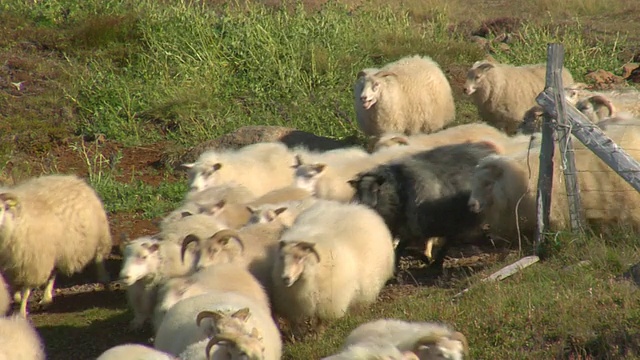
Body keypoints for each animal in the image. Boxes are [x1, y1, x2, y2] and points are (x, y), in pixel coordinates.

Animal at [0, 176, 112, 316]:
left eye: (0, 208)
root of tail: (75, 179)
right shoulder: (10, 267)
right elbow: (15, 290)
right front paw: (17, 299)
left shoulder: (34, 264)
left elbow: (25, 291)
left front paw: (21, 313)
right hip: (57, 250)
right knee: (53, 274)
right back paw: (47, 299)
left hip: (98, 235)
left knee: (99, 257)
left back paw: (104, 278)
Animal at [270, 198, 396, 334]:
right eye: (281, 258)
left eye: (300, 258)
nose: (285, 278)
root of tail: (355, 207)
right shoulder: (293, 304)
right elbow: (295, 323)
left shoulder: (328, 301)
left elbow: (321, 320)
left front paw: (319, 333)